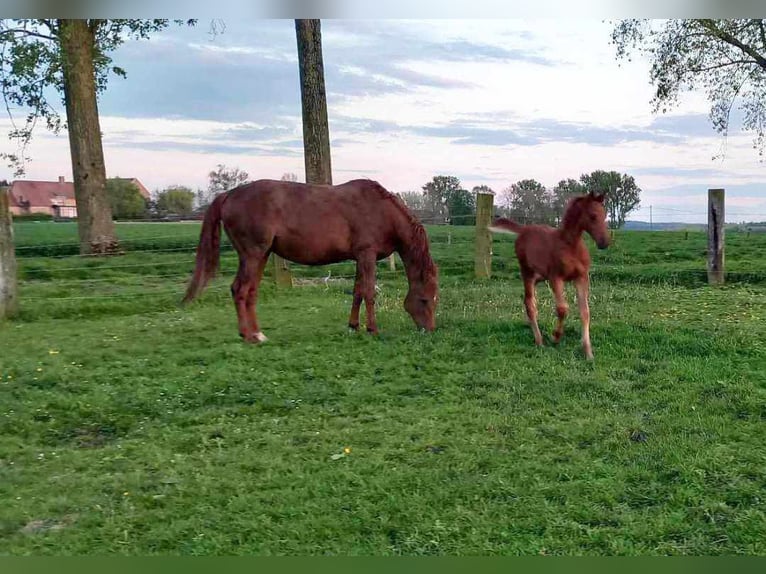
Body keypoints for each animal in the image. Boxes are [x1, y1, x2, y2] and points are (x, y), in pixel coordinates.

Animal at [182, 179, 440, 342]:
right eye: (425, 300)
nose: (429, 330)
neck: (382, 211)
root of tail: (229, 195)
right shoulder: (367, 255)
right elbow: (368, 292)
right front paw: (372, 329)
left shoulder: (360, 258)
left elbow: (357, 291)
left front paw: (353, 326)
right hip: (253, 255)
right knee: (239, 290)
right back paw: (248, 336)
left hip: (261, 256)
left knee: (251, 292)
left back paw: (258, 333)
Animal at [492, 191, 612, 360]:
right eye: (593, 216)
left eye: (605, 215)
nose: (604, 242)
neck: (571, 246)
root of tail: (523, 229)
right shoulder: (556, 278)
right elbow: (562, 309)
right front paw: (555, 336)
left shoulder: (581, 278)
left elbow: (585, 312)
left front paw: (588, 352)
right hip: (527, 273)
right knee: (529, 304)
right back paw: (539, 341)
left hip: (539, 276)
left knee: (531, 302)